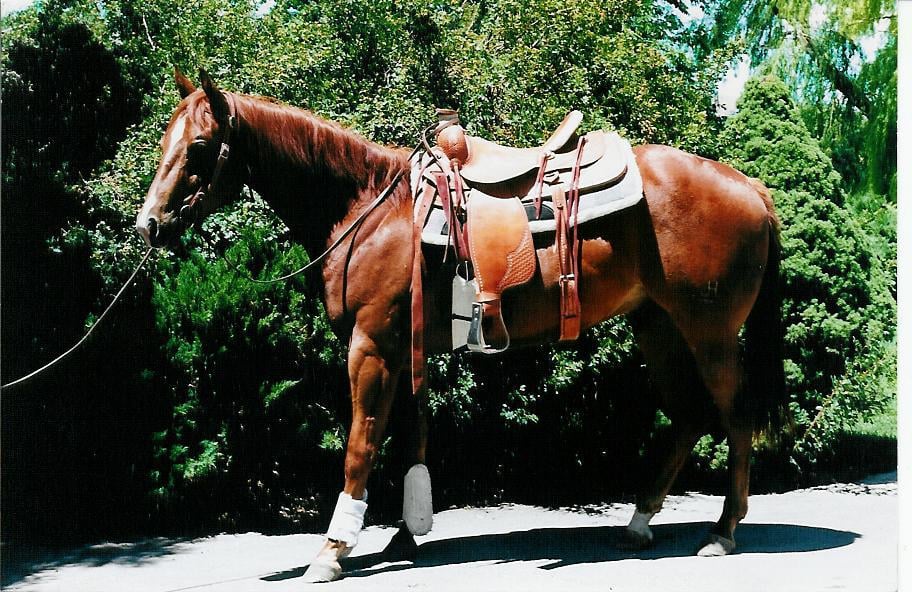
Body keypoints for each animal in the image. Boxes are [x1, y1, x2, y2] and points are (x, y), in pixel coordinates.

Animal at [136, 69, 786, 582]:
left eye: (199, 146)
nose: (148, 225)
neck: (371, 210)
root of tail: (752, 186)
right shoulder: (401, 347)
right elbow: (409, 434)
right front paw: (404, 534)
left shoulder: (370, 347)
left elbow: (361, 443)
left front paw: (332, 550)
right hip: (659, 327)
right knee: (689, 416)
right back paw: (641, 519)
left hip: (710, 333)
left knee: (734, 417)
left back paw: (722, 532)